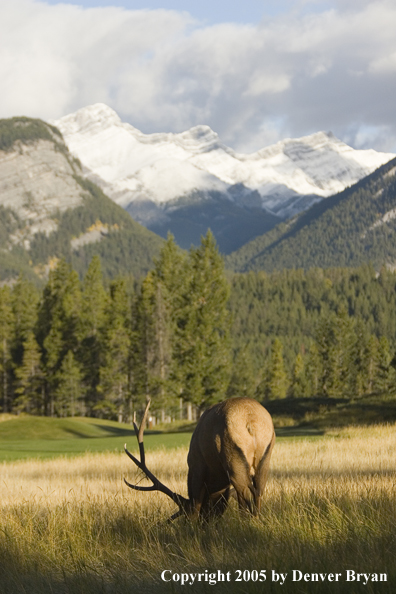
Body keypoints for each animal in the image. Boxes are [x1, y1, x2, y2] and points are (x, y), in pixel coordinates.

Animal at [124, 398, 276, 520]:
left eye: (185, 513)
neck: (216, 477)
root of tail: (251, 422)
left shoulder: (197, 466)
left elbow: (197, 502)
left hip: (233, 458)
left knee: (244, 496)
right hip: (265, 458)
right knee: (258, 494)